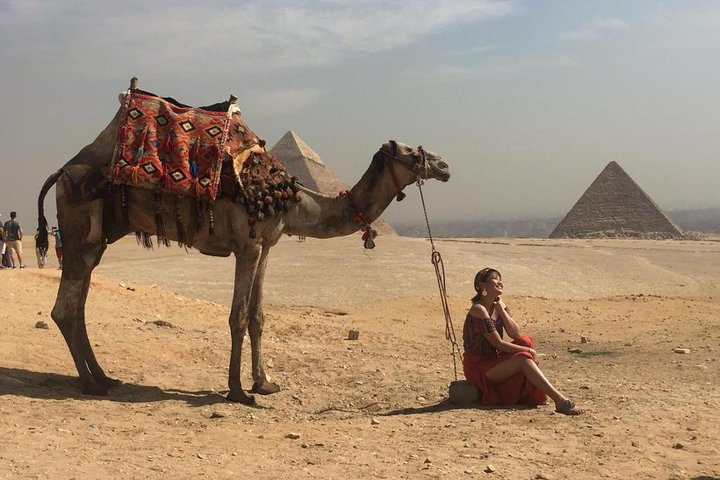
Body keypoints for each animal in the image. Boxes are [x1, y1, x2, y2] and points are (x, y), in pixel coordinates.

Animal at [36, 80, 450, 404]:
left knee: (79, 306)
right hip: (78, 228)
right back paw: (91, 384)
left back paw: (104, 377)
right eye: (411, 152)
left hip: (96, 240)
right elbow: (236, 316)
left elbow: (257, 316)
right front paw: (237, 390)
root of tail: (60, 172)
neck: (290, 198)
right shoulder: (247, 246)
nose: (444, 165)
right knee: (64, 310)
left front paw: (264, 383)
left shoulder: (266, 247)